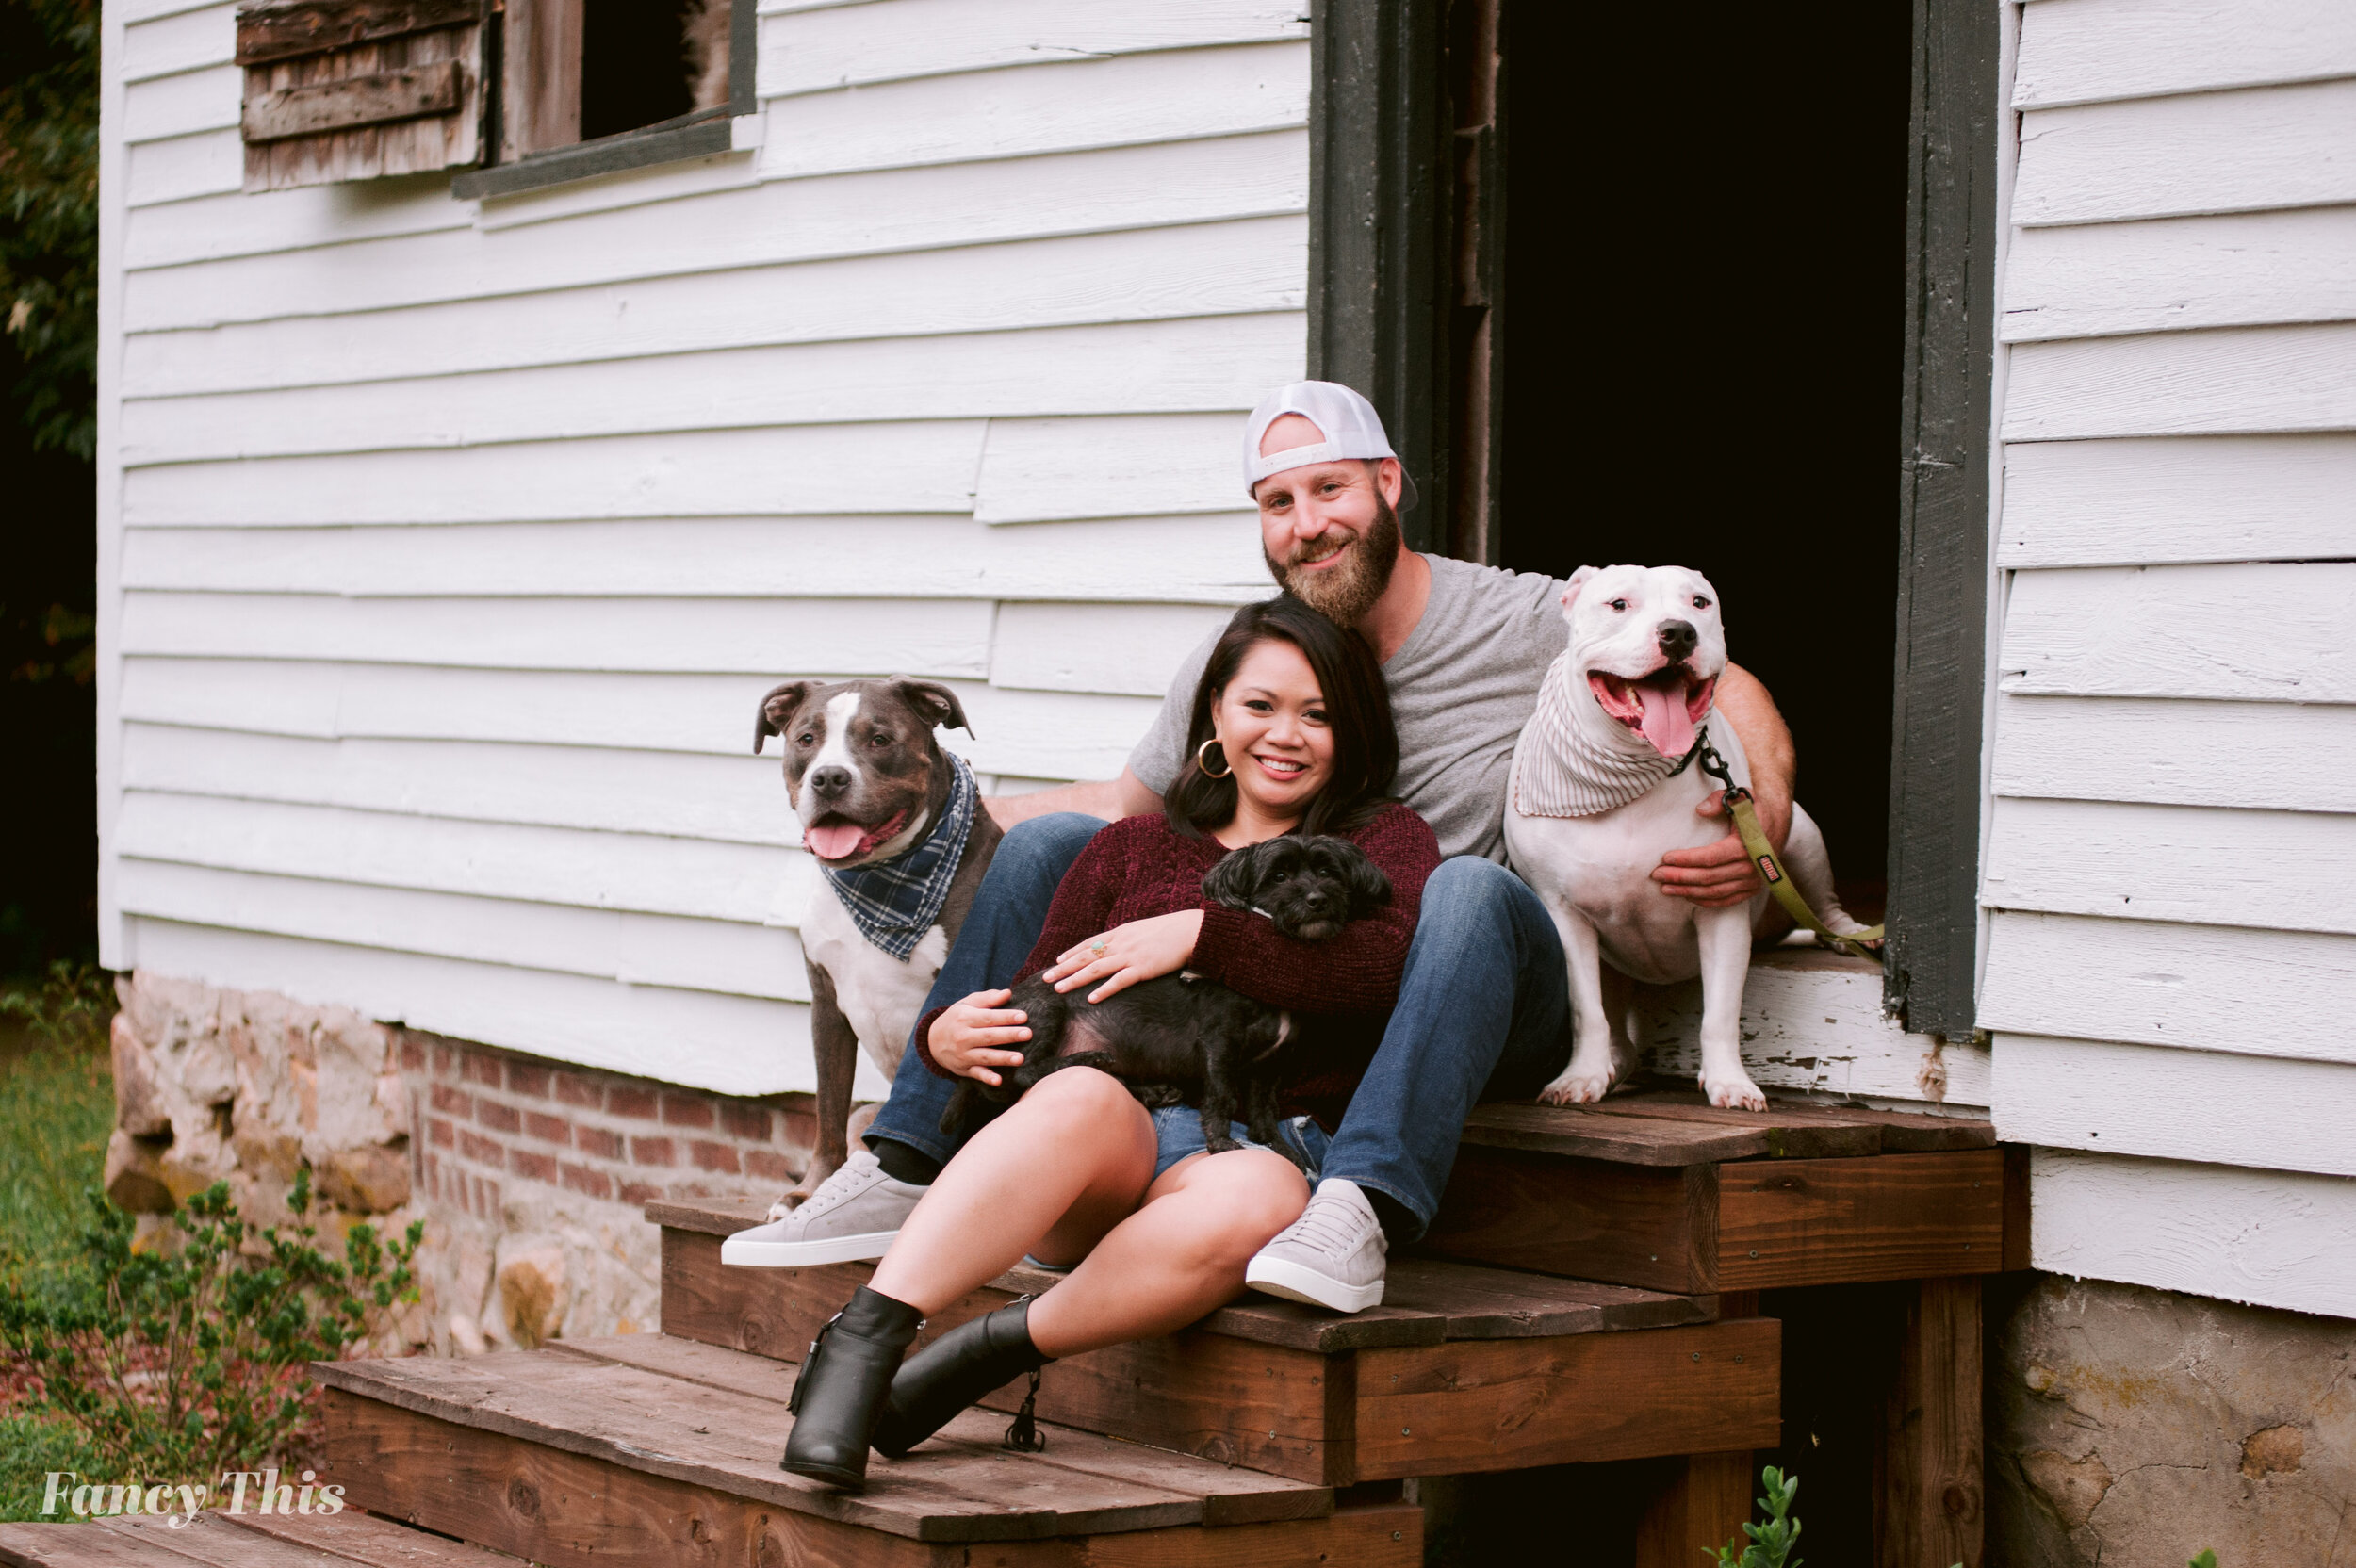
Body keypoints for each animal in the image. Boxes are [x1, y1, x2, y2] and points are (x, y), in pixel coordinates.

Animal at [749, 673, 999, 1205]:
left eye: (880, 739)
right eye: (807, 739)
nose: (829, 777)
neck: (876, 881)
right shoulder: (826, 1003)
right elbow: (827, 1106)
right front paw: (811, 1191)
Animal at [933, 842, 1385, 1158]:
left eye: (1327, 871)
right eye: (1278, 876)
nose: (1317, 899)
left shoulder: (1270, 1064)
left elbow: (1263, 1111)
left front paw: (1279, 1147)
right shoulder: (1220, 1043)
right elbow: (1223, 1097)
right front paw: (1221, 1144)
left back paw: (1149, 1091)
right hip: (1047, 1007)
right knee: (1028, 1072)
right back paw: (1088, 1060)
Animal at [1508, 563, 1857, 1111]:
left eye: (1699, 603)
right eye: (1618, 604)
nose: (1678, 632)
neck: (1630, 777)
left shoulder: (1722, 912)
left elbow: (1720, 1013)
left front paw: (1730, 1082)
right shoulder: (1565, 916)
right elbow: (1587, 1009)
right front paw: (1580, 1077)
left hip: (1800, 839)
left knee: (1824, 902)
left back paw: (1847, 933)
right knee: (1619, 1035)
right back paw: (1611, 1068)